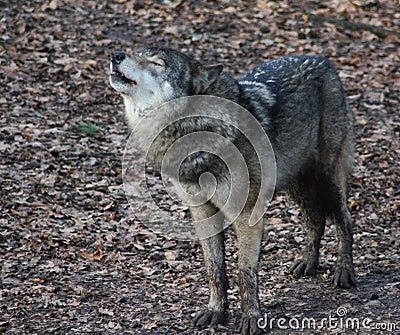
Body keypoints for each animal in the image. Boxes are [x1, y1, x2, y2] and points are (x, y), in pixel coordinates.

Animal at [108, 48, 354, 335]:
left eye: (157, 63)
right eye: (138, 53)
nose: (116, 54)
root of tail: (323, 60)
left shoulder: (247, 214)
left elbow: (244, 272)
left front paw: (251, 318)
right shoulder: (202, 212)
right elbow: (214, 269)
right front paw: (216, 311)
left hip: (327, 177)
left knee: (344, 218)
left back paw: (344, 271)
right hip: (296, 182)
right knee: (316, 218)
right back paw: (308, 264)